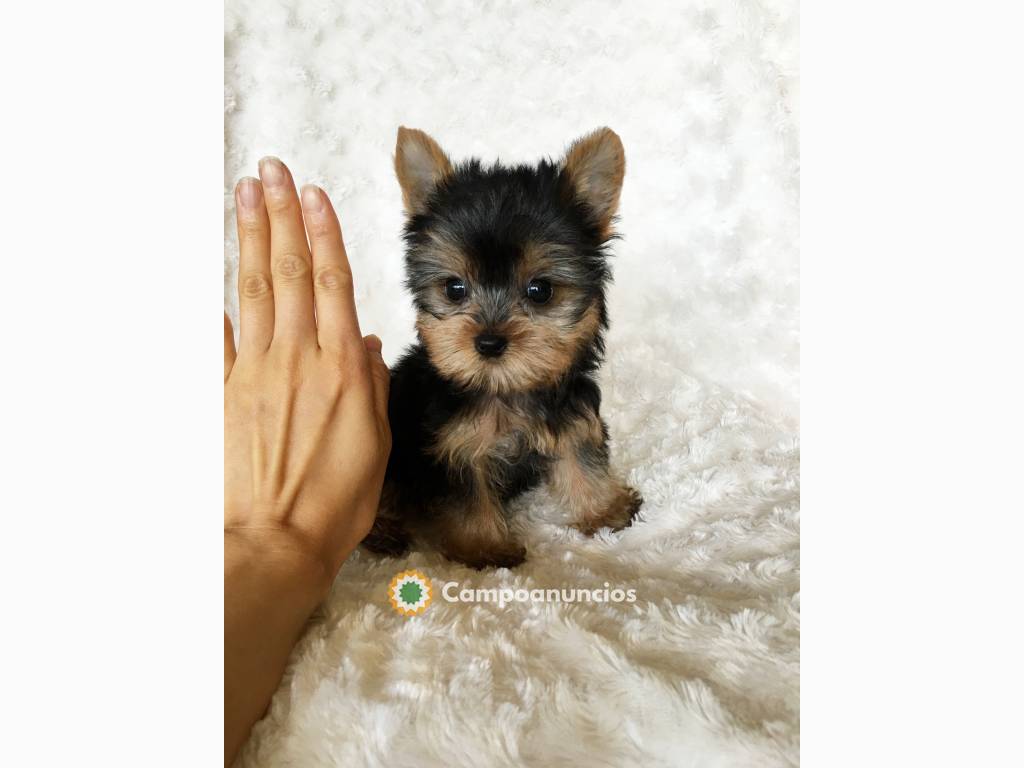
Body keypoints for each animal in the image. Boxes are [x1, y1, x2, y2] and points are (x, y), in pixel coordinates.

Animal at [364, 128, 638, 573]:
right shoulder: (457, 446)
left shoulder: (570, 414)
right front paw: (485, 548)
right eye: (454, 288)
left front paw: (604, 510)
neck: (506, 387)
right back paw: (382, 530)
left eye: (540, 290)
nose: (489, 342)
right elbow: (470, 495)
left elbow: (580, 454)